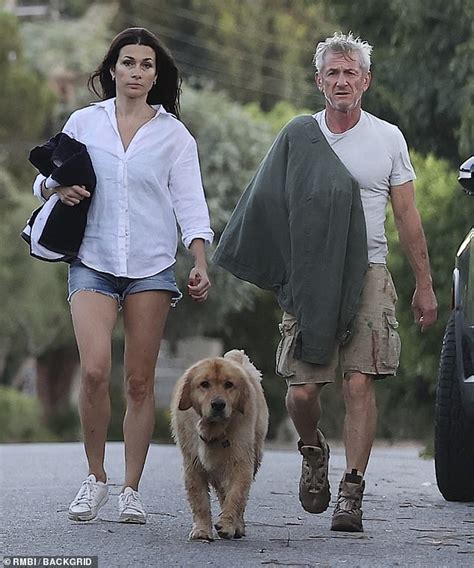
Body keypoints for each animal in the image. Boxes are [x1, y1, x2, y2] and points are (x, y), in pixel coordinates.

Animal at [170, 348, 268, 540]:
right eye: (204, 384)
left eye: (229, 384)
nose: (218, 404)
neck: (212, 429)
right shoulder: (193, 466)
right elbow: (200, 501)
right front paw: (202, 530)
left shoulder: (241, 462)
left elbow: (236, 496)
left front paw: (228, 524)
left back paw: (238, 525)